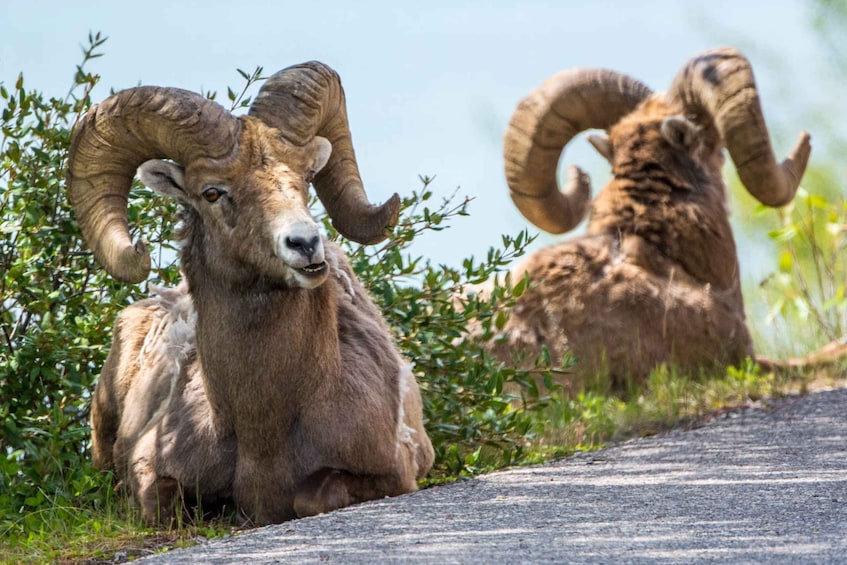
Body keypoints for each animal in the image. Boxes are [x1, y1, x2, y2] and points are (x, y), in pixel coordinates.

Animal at [66, 61, 434, 524]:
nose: (305, 244)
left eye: (307, 176)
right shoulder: (149, 469)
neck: (262, 429)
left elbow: (311, 496)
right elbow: (163, 504)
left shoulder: (395, 474)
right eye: (212, 192)